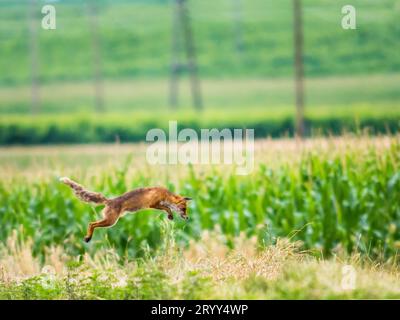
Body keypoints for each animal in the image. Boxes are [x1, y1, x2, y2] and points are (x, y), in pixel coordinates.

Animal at [59, 178, 192, 242]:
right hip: (110, 221)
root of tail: (109, 200)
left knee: (92, 223)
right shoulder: (153, 204)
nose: (187, 217)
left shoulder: (156, 204)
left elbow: (167, 208)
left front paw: (170, 215)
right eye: (184, 209)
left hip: (110, 221)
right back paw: (88, 238)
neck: (165, 194)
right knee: (91, 224)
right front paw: (170, 214)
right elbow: (167, 207)